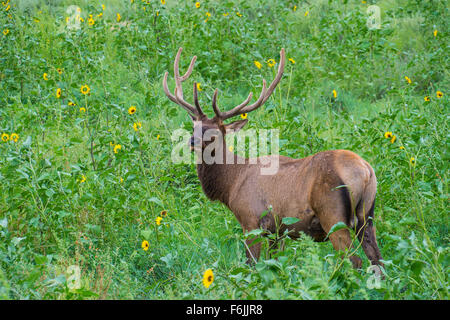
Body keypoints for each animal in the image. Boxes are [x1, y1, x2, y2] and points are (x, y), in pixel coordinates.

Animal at [162, 46, 384, 268]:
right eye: (195, 127)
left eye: (214, 132)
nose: (192, 142)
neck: (231, 184)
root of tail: (366, 171)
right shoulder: (277, 231)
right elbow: (275, 264)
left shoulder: (251, 220)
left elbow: (251, 265)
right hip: (367, 216)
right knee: (378, 260)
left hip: (333, 215)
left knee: (355, 261)